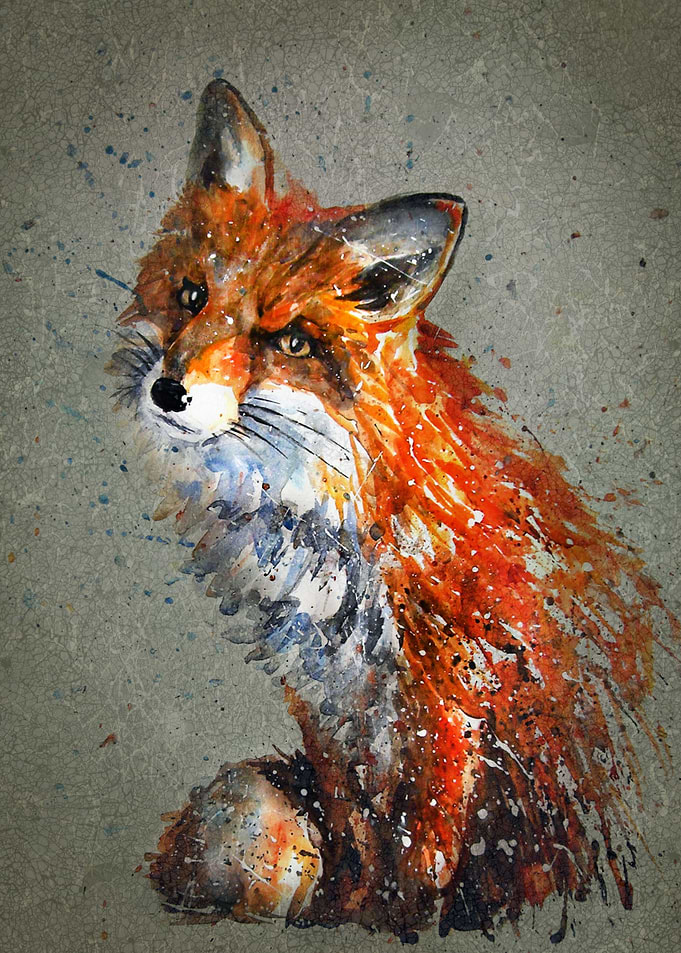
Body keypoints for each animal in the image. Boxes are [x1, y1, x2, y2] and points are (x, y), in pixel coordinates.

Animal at [109, 80, 677, 941]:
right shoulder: (327, 696)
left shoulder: (448, 694)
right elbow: (360, 832)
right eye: (191, 295)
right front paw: (350, 913)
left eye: (289, 341)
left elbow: (422, 849)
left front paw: (403, 921)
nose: (169, 391)